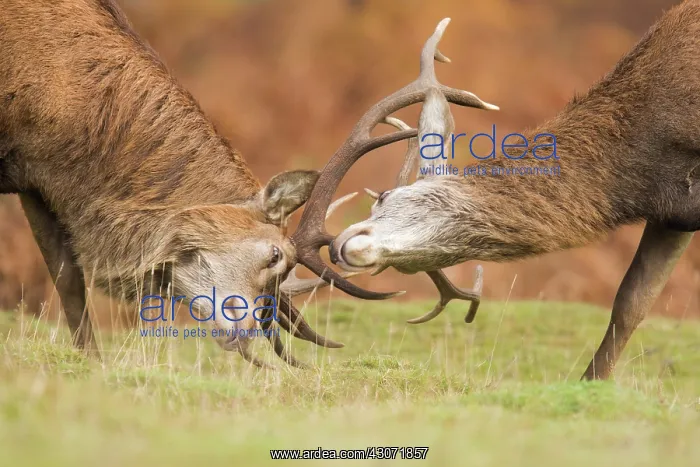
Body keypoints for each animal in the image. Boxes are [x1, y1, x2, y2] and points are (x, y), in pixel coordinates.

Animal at [290, 1, 700, 380]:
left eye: (384, 197)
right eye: (407, 268)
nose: (341, 246)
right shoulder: (673, 213)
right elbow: (630, 303)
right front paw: (591, 383)